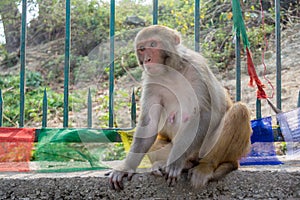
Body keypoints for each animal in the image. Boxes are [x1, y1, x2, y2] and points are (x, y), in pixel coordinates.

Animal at [109, 25, 252, 191]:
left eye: (153, 44)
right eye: (142, 49)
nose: (147, 60)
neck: (171, 70)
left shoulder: (196, 69)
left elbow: (205, 114)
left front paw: (176, 163)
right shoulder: (151, 80)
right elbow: (149, 124)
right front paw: (126, 167)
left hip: (213, 151)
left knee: (239, 111)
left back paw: (206, 166)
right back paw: (173, 164)